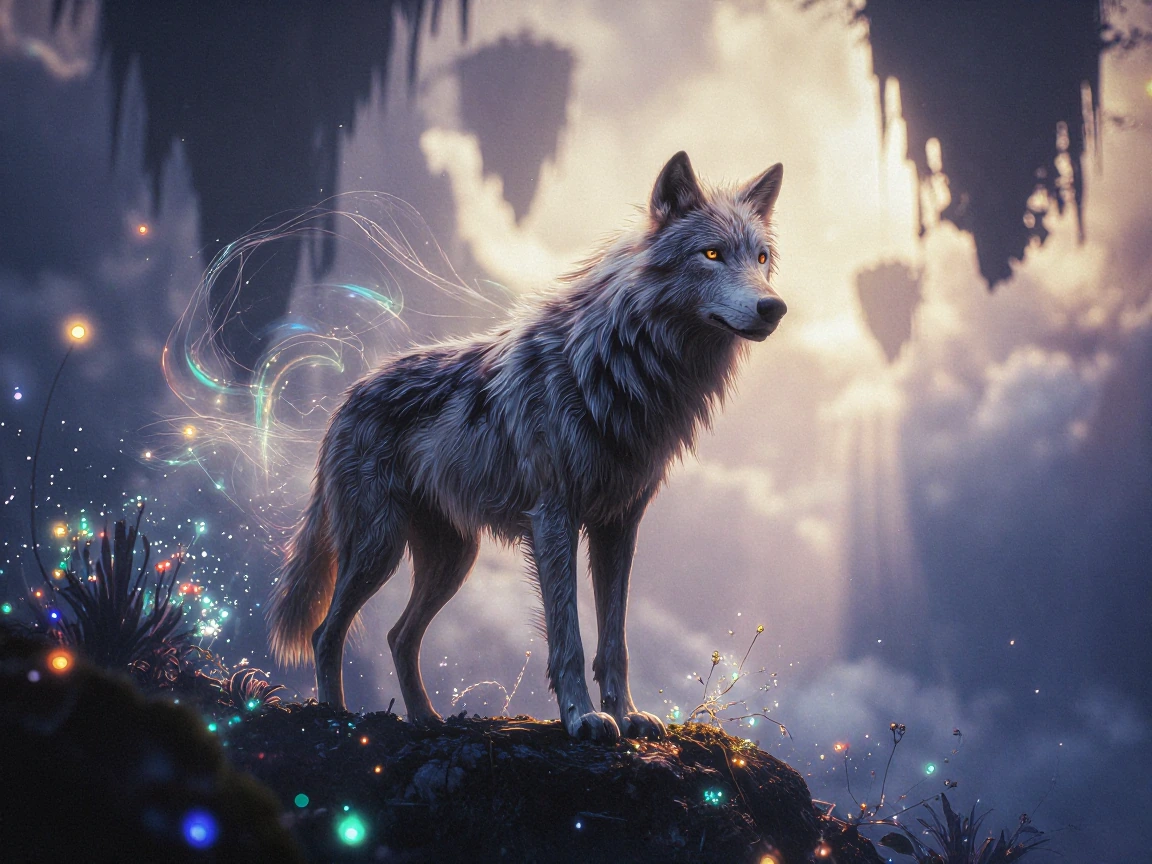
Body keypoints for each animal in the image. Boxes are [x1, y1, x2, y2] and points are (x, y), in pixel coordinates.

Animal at [267, 152, 786, 742]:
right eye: (712, 254)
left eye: (761, 258)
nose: (774, 307)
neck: (624, 372)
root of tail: (347, 396)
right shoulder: (553, 517)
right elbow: (568, 637)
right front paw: (583, 717)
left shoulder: (619, 524)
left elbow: (615, 640)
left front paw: (627, 714)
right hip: (380, 547)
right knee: (326, 632)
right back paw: (335, 716)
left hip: (452, 560)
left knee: (399, 636)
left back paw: (427, 720)